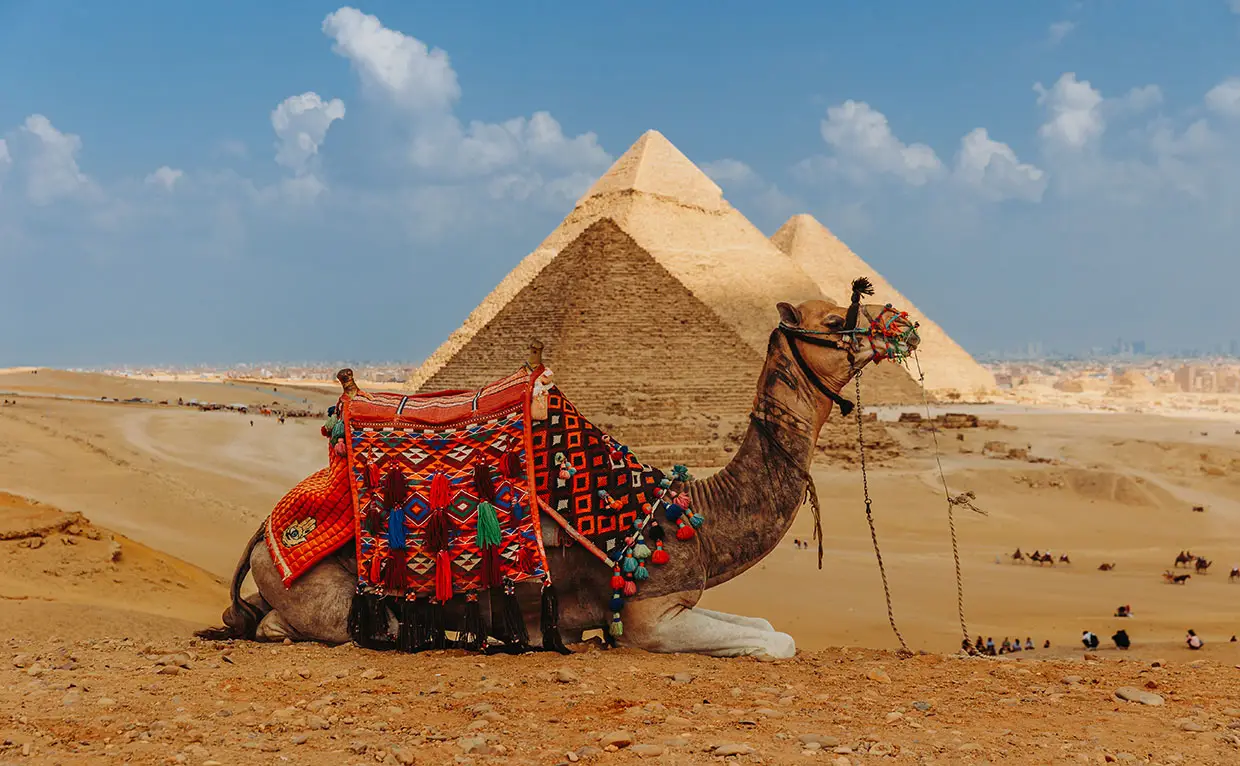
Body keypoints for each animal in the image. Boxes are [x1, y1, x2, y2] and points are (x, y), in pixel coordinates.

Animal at [197, 281, 919, 658]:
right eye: (838, 318)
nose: (899, 323)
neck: (691, 514)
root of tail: (265, 535)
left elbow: (767, 628)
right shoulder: (651, 619)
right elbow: (779, 641)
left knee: (249, 614)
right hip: (331, 599)